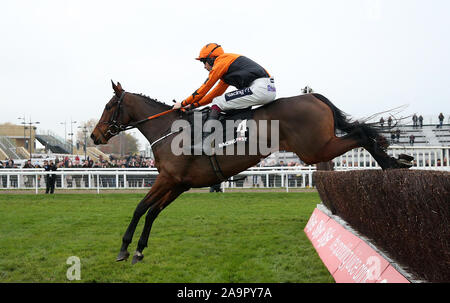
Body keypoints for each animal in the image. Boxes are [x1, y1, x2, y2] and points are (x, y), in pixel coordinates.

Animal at [90, 82, 412, 264]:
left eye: (108, 105)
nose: (95, 136)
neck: (168, 131)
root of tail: (313, 97)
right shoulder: (179, 184)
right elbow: (153, 212)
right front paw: (139, 250)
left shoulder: (167, 179)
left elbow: (140, 207)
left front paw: (124, 248)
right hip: (317, 147)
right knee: (361, 132)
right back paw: (397, 161)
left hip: (316, 149)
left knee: (360, 133)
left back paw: (392, 163)